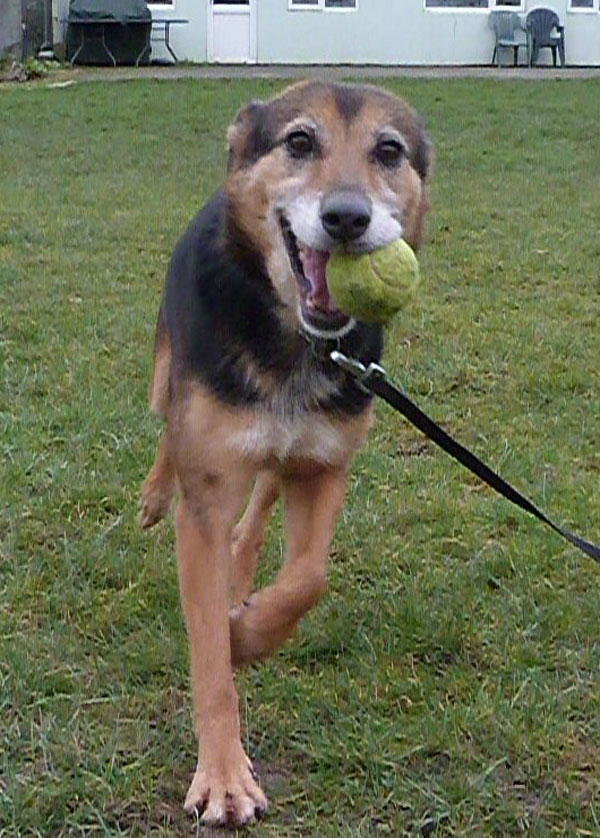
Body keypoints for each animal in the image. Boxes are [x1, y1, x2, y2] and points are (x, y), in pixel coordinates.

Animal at [140, 82, 432, 832]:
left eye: (389, 151)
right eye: (299, 141)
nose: (347, 218)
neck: (298, 346)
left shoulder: (323, 465)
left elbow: (308, 578)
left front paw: (249, 632)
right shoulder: (205, 495)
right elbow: (210, 662)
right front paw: (223, 778)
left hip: (283, 457)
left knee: (258, 508)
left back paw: (241, 582)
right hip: (168, 373)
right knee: (166, 430)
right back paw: (154, 495)